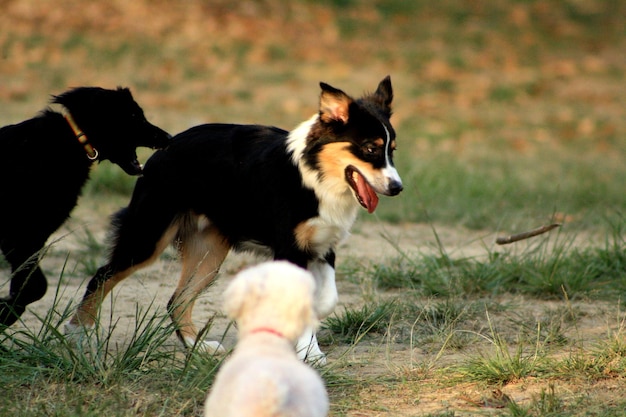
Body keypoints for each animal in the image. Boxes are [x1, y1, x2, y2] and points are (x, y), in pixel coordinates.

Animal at [0, 86, 171, 324]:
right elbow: (35, 287)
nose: (169, 137)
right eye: (133, 116)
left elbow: (28, 287)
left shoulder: (27, 240)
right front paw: (3, 312)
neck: (73, 138)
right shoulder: (21, 236)